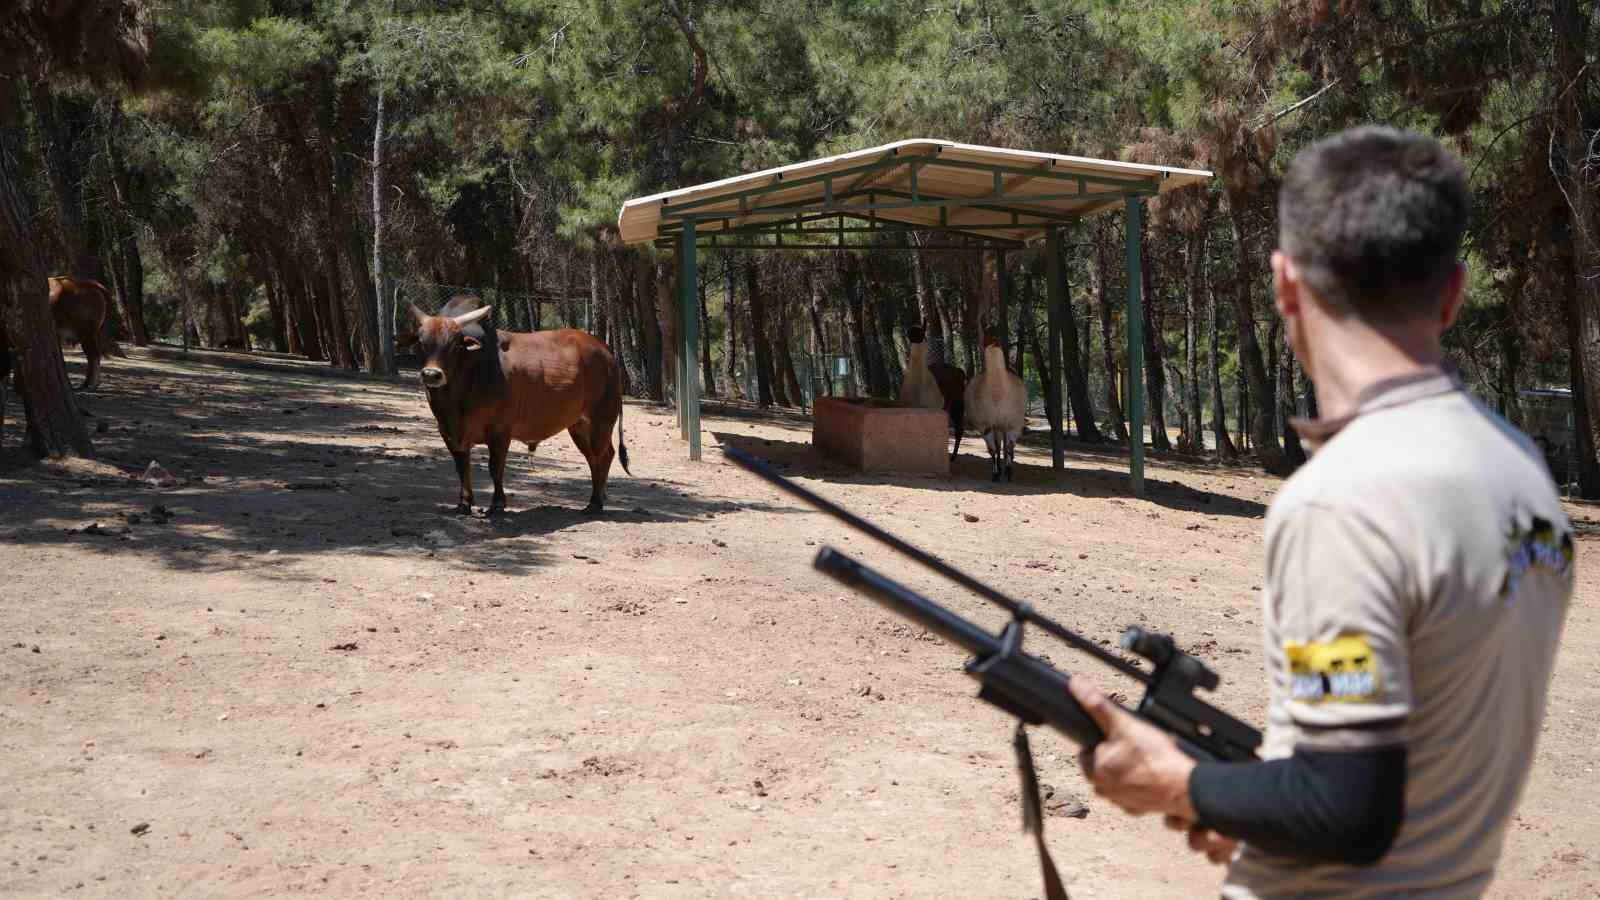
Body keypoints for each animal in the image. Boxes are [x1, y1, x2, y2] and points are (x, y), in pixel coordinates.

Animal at [412, 296, 630, 512]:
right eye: (422, 343)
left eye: (454, 345)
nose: (431, 374)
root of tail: (606, 352)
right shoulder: (448, 432)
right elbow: (461, 466)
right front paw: (465, 502)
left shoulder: (500, 430)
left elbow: (495, 467)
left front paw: (498, 503)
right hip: (579, 425)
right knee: (593, 458)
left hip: (601, 421)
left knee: (604, 455)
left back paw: (595, 502)